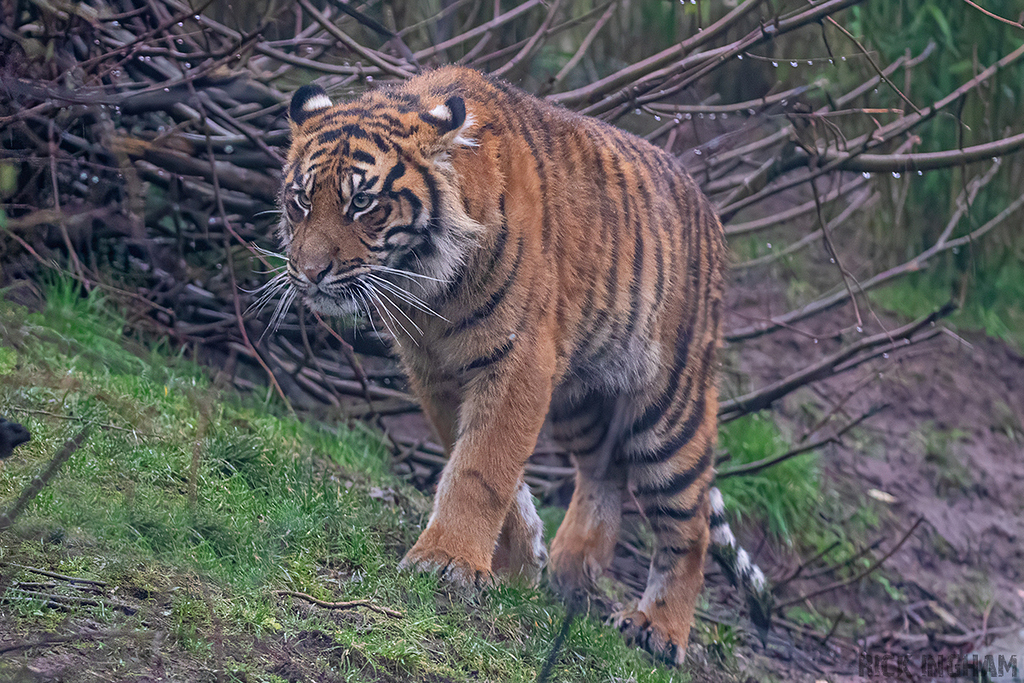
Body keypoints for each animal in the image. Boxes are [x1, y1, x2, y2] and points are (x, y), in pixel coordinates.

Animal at [277, 66, 769, 665]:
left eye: (363, 204)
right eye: (301, 201)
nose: (308, 273)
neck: (427, 286)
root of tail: (712, 213)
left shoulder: (519, 361)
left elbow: (483, 465)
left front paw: (447, 562)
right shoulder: (436, 372)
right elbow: (475, 458)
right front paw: (516, 558)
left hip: (667, 409)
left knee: (690, 524)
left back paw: (658, 629)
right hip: (582, 397)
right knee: (603, 471)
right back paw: (569, 567)